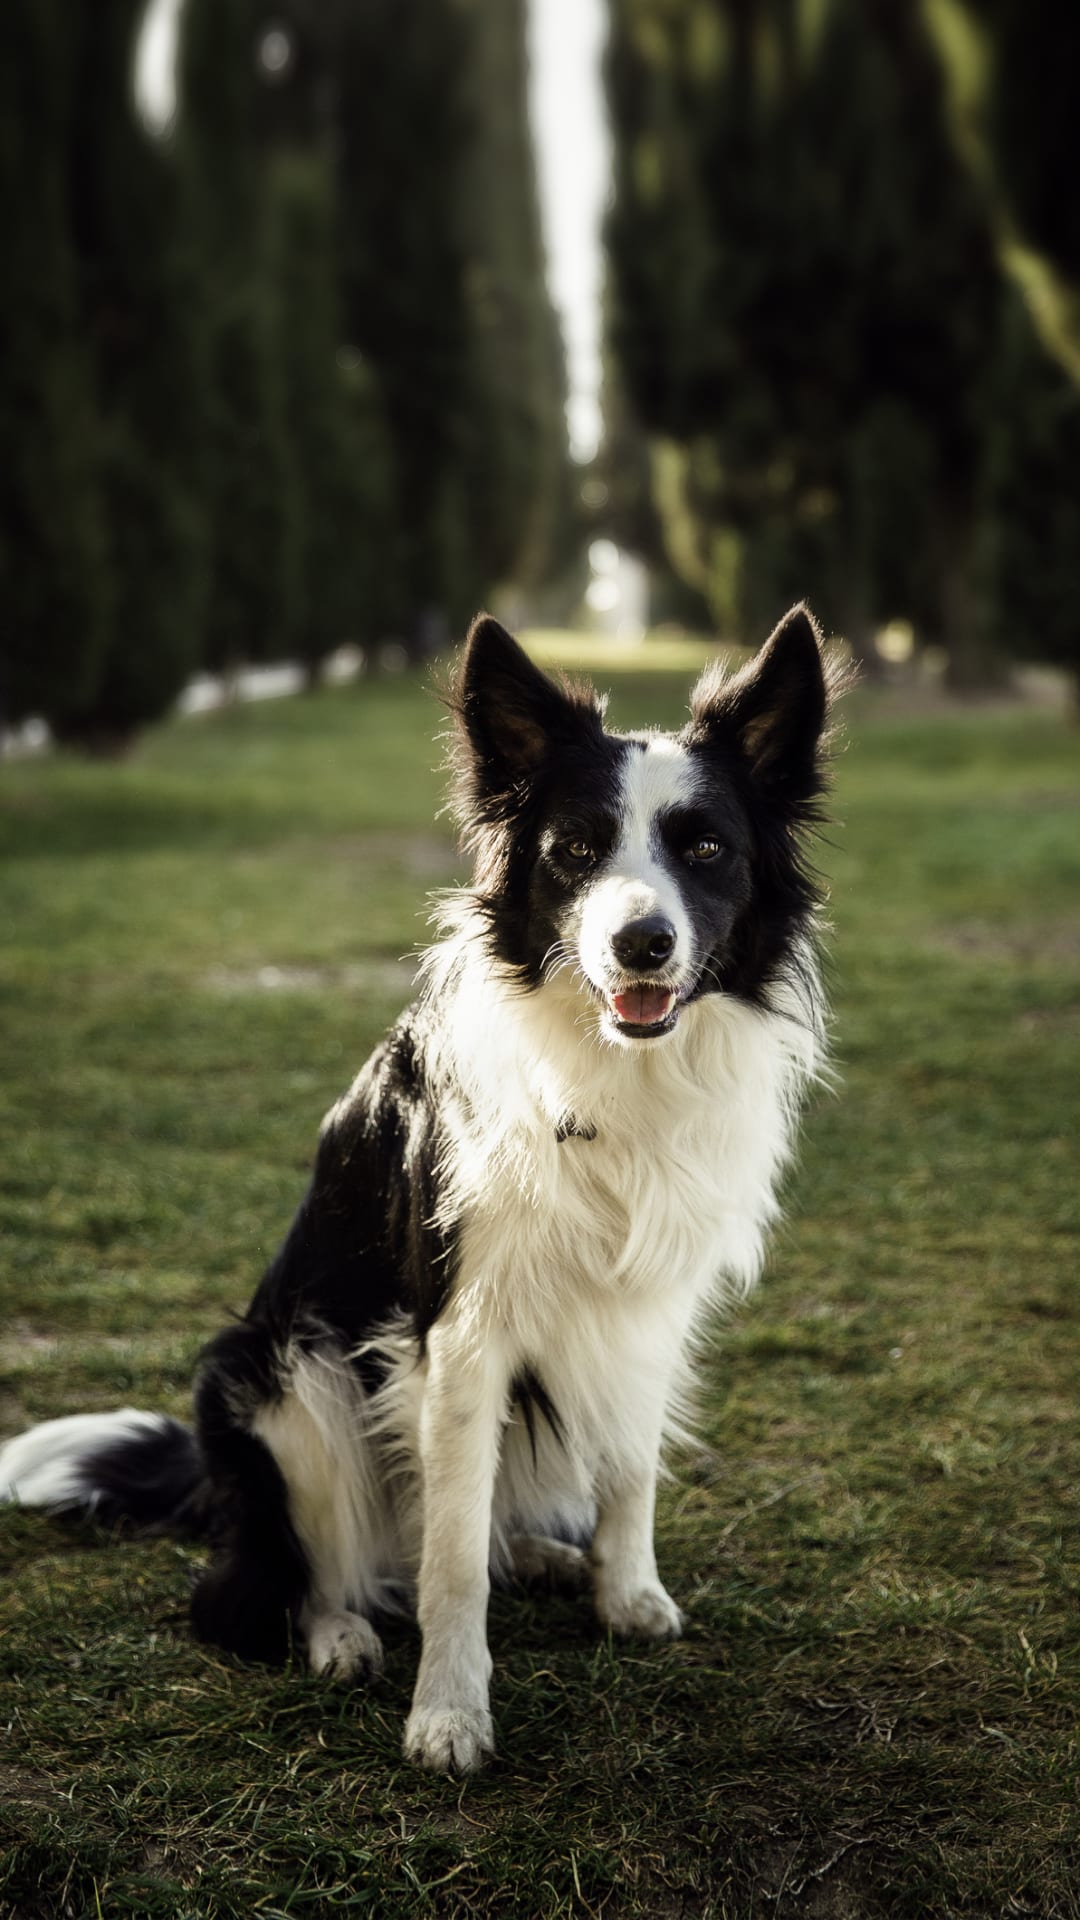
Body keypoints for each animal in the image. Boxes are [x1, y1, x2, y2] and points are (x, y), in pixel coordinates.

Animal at [0, 606, 837, 1774]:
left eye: (706, 847)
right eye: (575, 850)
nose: (642, 942)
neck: (608, 1073)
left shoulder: (647, 1308)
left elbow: (629, 1467)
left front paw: (627, 1594)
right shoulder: (458, 1334)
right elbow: (447, 1564)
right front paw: (447, 1715)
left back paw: (538, 1555)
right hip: (281, 1376)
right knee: (291, 1581)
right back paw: (342, 1634)